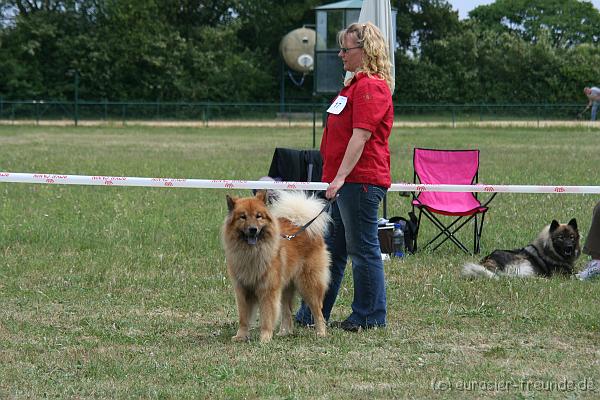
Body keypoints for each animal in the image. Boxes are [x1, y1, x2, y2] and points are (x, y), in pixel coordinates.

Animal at [221, 189, 330, 342]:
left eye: (258, 216)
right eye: (243, 217)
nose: (253, 229)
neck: (251, 252)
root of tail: (300, 224)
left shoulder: (268, 290)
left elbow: (267, 316)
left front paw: (265, 337)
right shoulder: (242, 290)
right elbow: (243, 318)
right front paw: (241, 336)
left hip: (308, 284)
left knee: (317, 311)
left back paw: (321, 333)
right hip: (285, 287)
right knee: (287, 312)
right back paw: (284, 332)